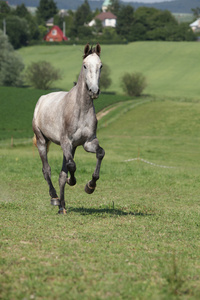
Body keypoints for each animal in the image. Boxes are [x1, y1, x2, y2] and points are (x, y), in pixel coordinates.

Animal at [32, 43, 104, 214]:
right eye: (85, 66)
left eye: (100, 66)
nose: (94, 91)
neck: (81, 109)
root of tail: (42, 100)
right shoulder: (66, 142)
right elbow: (71, 166)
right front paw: (73, 181)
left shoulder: (88, 142)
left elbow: (100, 153)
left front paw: (90, 186)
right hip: (42, 141)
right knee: (47, 170)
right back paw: (55, 198)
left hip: (72, 147)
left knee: (61, 175)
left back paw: (62, 207)